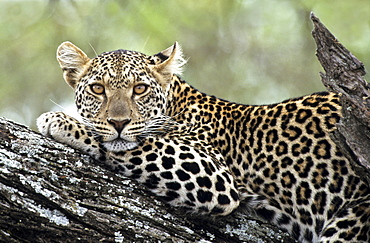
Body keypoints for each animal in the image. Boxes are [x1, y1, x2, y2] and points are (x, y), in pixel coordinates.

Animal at [37, 41, 370, 243]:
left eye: (140, 89)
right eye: (97, 89)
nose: (119, 123)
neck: (177, 102)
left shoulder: (213, 174)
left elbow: (139, 144)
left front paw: (61, 121)